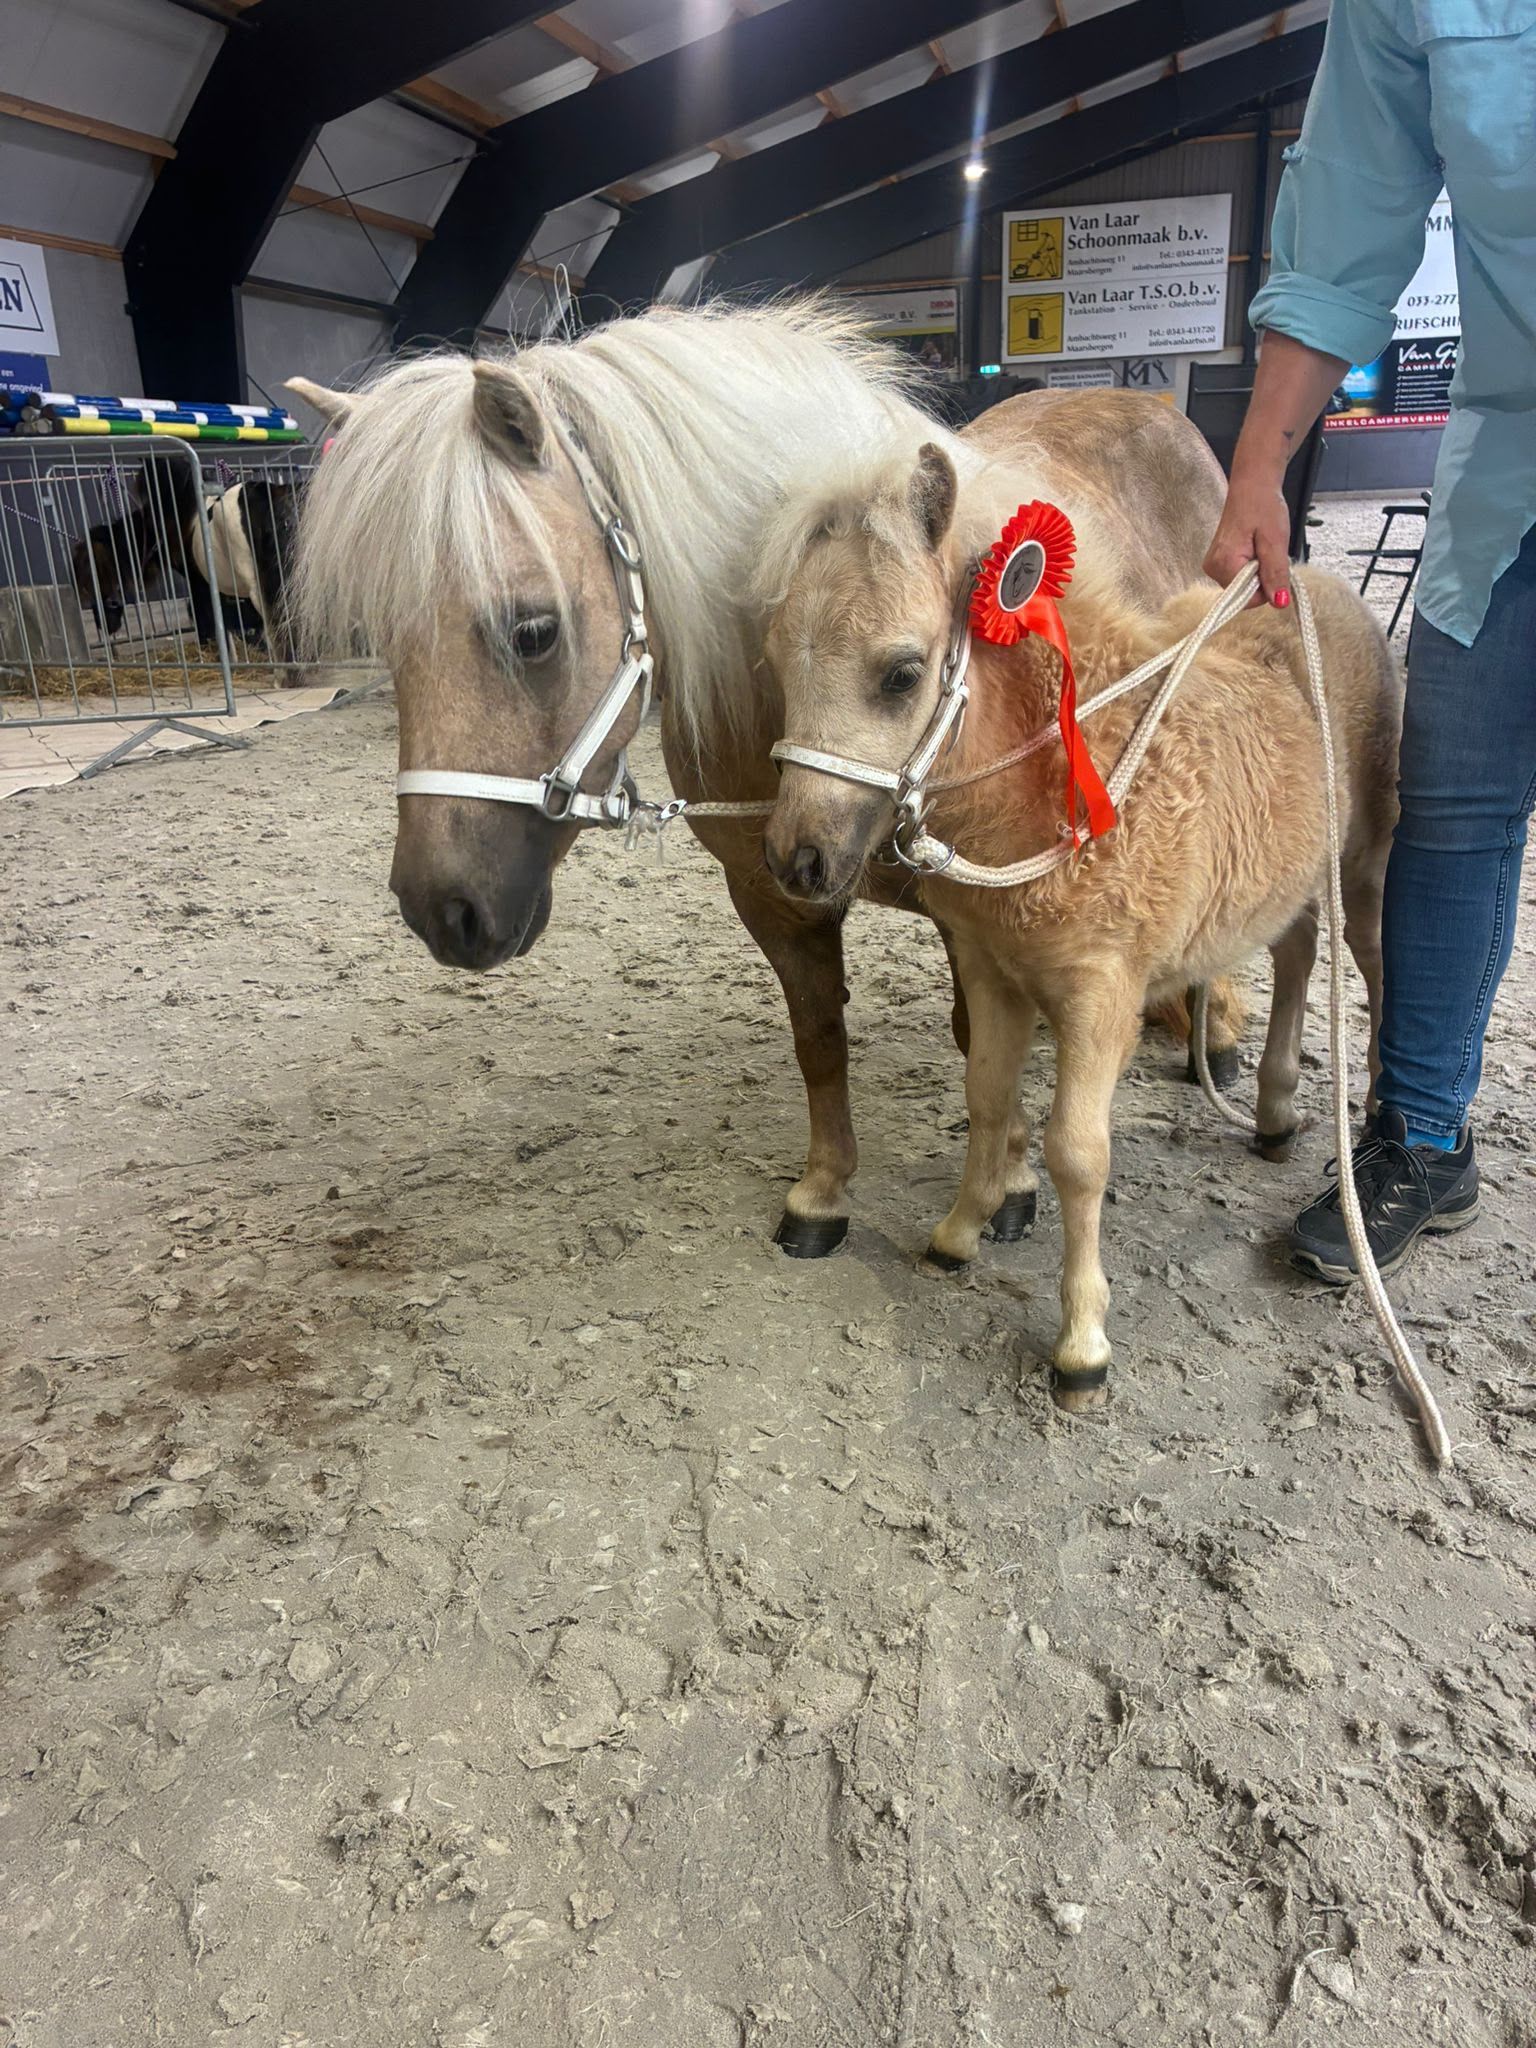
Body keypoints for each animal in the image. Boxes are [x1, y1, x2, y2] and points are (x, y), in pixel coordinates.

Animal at [285, 302, 1244, 1256]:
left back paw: (1222, 1031)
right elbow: (820, 1037)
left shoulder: (972, 908)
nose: (443, 911)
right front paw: (824, 1193)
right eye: (386, 640)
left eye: (533, 630)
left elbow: (983, 1046)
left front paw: (1005, 1186)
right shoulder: (770, 893)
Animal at [754, 429, 1402, 1409]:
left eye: (901, 674)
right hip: (1287, 872)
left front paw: (1082, 1346)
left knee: (1374, 961)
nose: (799, 861)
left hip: (1363, 863)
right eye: (777, 664)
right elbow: (987, 1097)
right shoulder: (992, 970)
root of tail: (1313, 583)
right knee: (1295, 951)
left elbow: (1076, 1154)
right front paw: (957, 1235)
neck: (1056, 784)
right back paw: (1276, 1110)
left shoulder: (1102, 996)